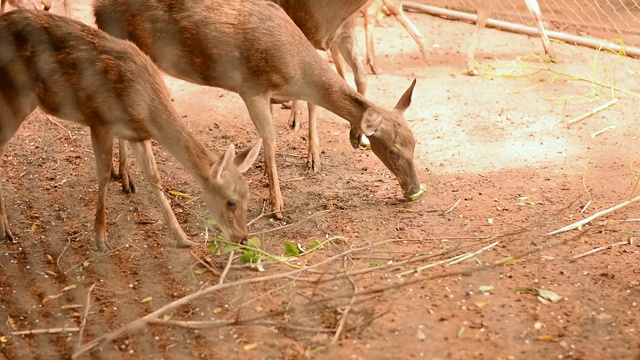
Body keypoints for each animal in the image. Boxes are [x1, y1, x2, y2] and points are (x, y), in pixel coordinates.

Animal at [0, 7, 262, 250]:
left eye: (248, 195)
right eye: (231, 202)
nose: (243, 239)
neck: (145, 106)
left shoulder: (137, 134)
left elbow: (155, 177)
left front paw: (183, 238)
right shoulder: (99, 119)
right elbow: (103, 176)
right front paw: (101, 240)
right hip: (15, 96)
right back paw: (6, 230)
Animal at [94, 0, 424, 218]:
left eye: (415, 142)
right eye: (392, 150)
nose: (414, 188)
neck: (294, 69)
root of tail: (98, 10)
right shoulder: (252, 88)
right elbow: (269, 140)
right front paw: (277, 206)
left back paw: (120, 174)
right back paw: (125, 178)